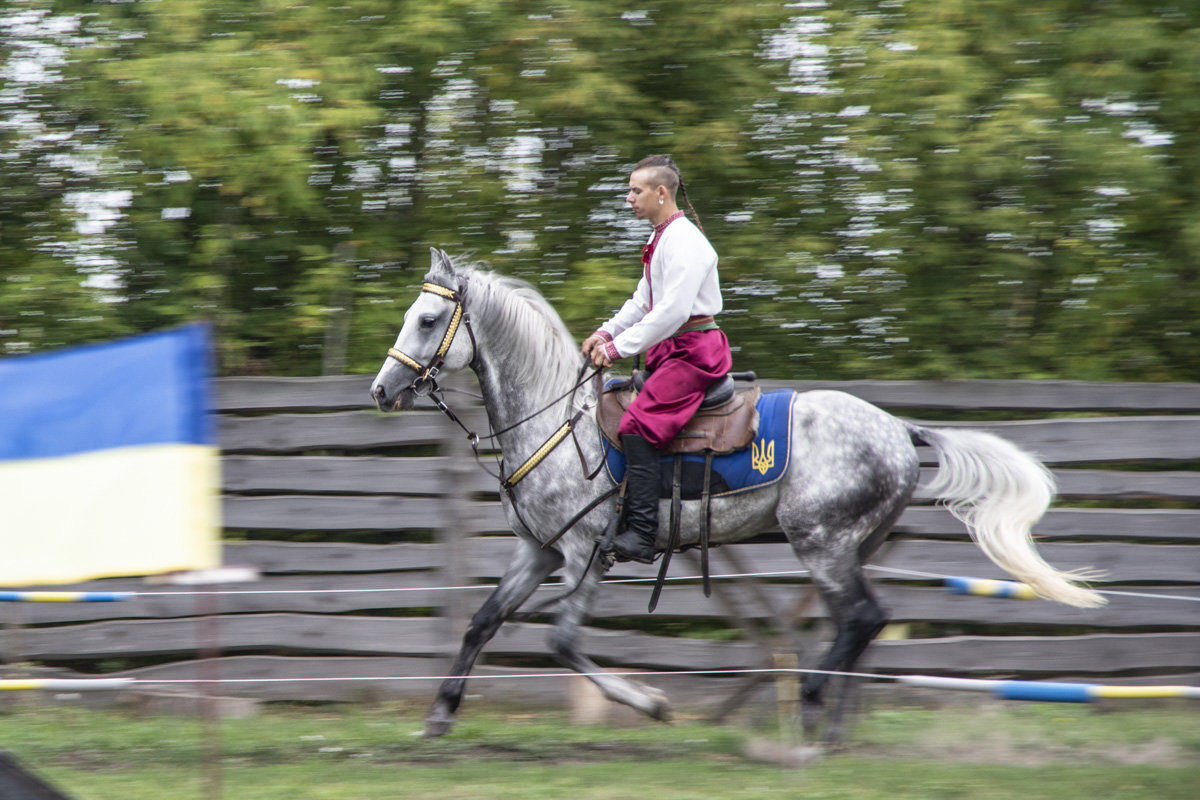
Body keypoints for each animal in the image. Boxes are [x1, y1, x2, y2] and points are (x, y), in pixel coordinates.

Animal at [369, 248, 1099, 738]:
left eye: (428, 319)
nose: (381, 390)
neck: (555, 422)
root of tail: (898, 427)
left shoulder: (584, 557)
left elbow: (564, 644)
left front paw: (652, 704)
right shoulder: (539, 552)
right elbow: (481, 622)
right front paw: (439, 717)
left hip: (822, 543)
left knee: (862, 617)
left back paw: (811, 706)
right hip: (849, 548)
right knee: (860, 622)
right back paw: (831, 724)